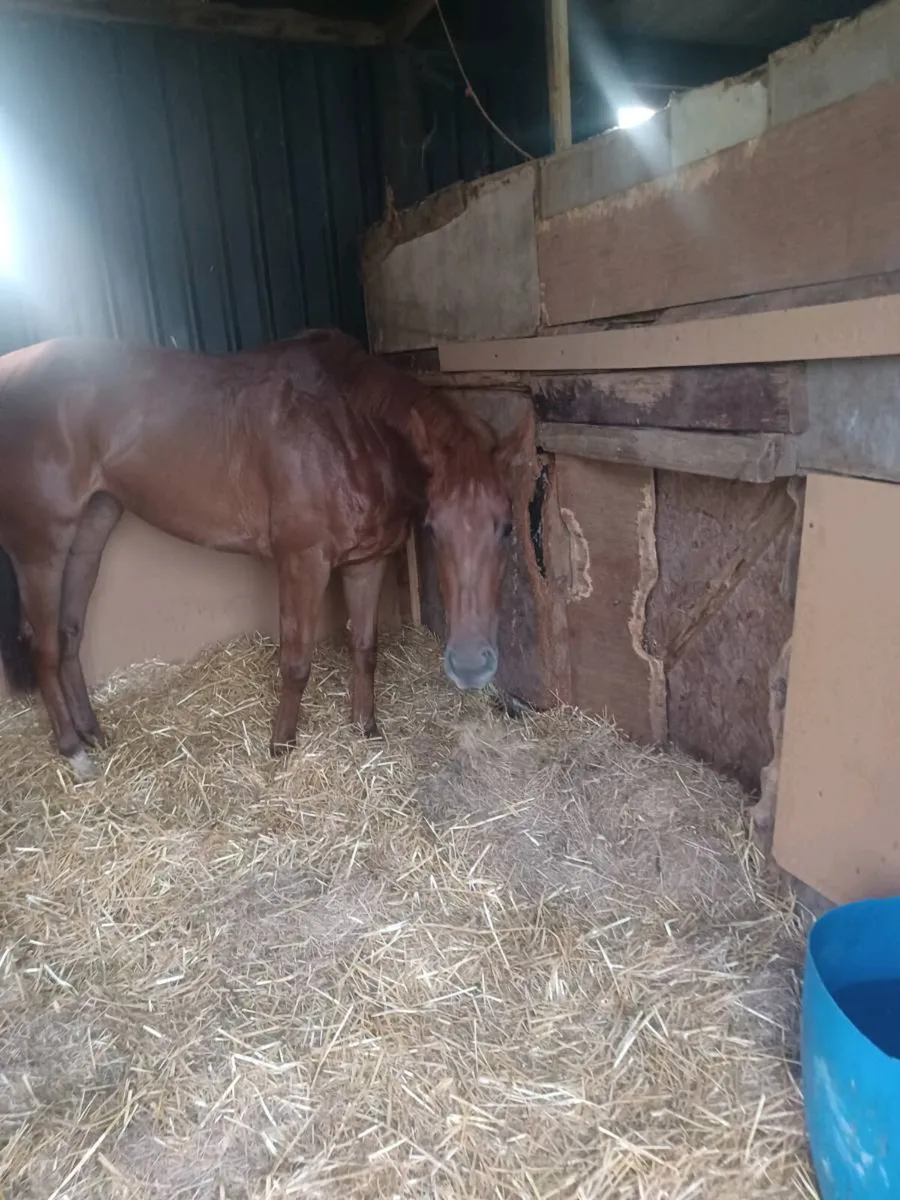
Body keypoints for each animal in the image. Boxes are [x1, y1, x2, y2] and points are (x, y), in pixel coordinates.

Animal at [0, 329, 527, 780]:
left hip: (91, 528)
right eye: (434, 529)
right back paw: (74, 751)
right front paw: (281, 746)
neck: (348, 427)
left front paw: (365, 728)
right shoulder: (302, 561)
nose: (470, 666)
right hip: (41, 546)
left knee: (69, 633)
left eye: (506, 527)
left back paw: (93, 732)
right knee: (43, 644)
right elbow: (296, 661)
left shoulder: (367, 561)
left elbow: (365, 647)